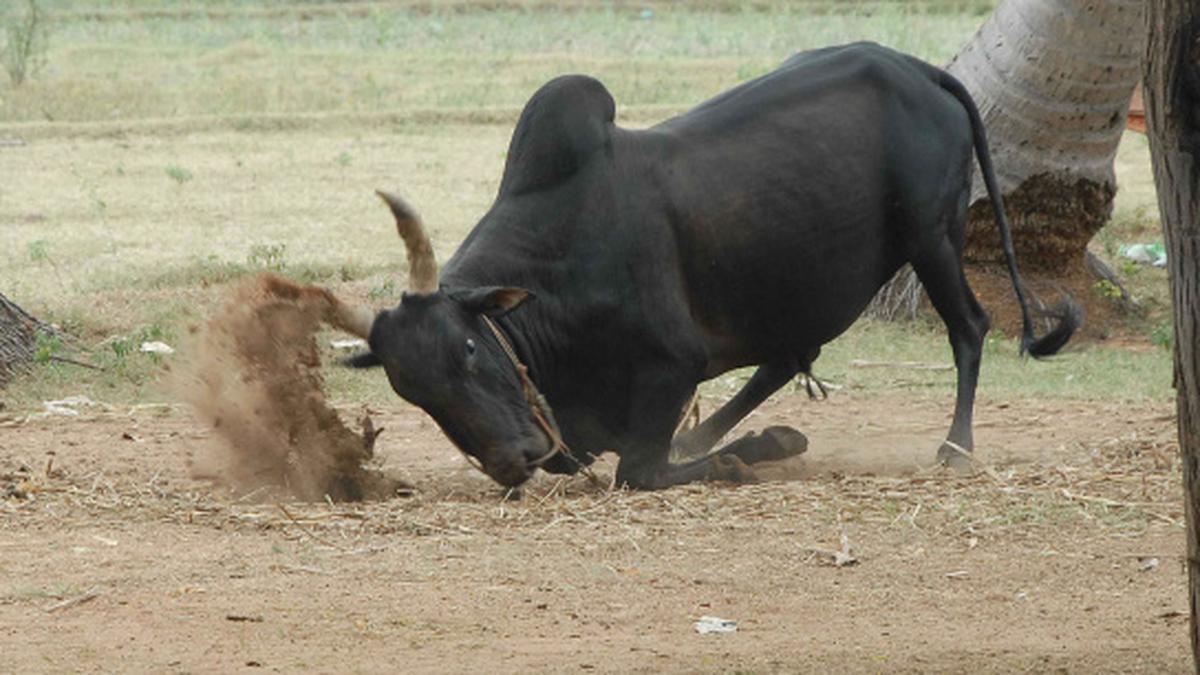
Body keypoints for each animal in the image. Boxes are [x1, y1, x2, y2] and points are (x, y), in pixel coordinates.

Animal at [309, 43, 1080, 487]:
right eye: (412, 391)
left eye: (470, 349)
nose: (512, 460)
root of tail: (919, 70)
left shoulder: (672, 364)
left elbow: (639, 470)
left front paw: (754, 452)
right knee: (786, 355)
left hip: (933, 236)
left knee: (969, 327)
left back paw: (955, 446)